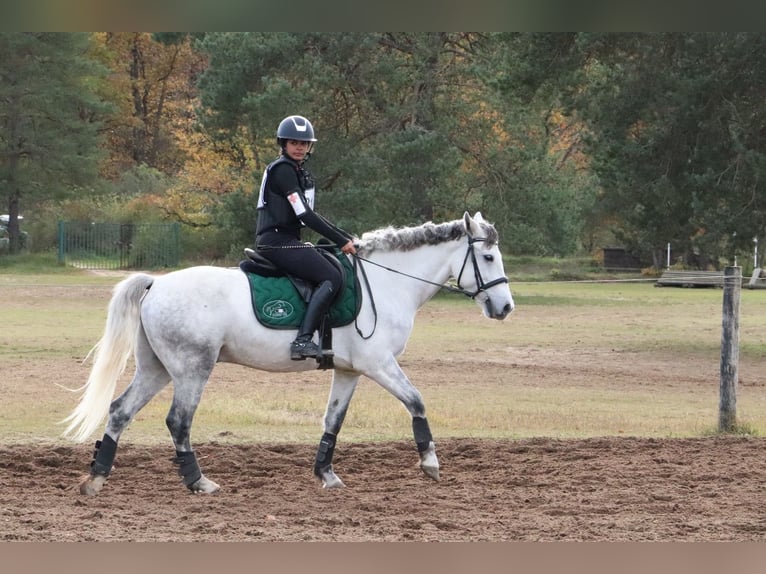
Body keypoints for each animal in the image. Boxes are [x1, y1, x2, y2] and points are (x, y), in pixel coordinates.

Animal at [62, 212, 514, 496]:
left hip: (158, 369)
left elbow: (333, 420)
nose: (506, 307)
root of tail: (157, 283)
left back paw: (96, 479)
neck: (388, 283)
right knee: (179, 421)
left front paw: (326, 475)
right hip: (192, 369)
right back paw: (197, 482)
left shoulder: (350, 371)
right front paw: (430, 463)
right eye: (488, 256)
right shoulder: (379, 364)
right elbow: (417, 402)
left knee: (120, 411)